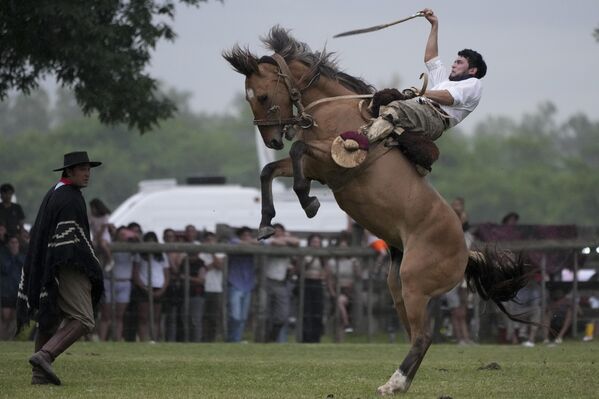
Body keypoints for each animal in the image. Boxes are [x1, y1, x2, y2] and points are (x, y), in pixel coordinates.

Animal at [225, 26, 528, 396]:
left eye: (264, 96)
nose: (271, 140)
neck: (334, 112)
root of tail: (465, 252)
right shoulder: (316, 166)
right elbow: (270, 170)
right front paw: (267, 223)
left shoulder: (329, 161)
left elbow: (296, 152)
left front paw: (308, 202)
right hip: (398, 288)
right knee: (417, 337)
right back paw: (400, 383)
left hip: (415, 285)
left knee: (424, 336)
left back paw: (392, 383)